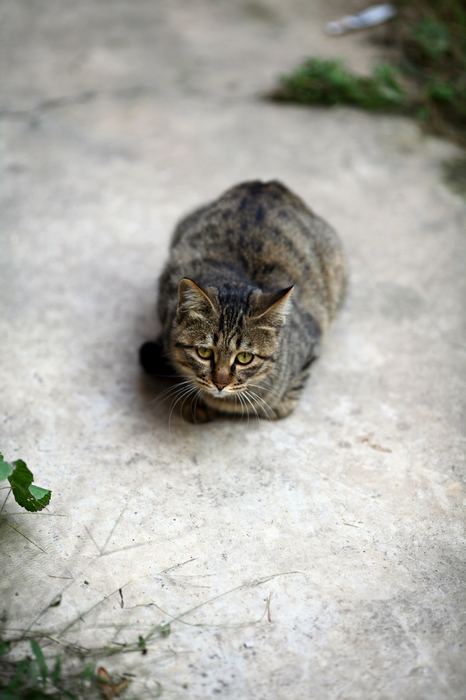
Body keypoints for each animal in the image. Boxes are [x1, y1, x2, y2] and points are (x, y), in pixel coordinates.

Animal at [140, 180, 348, 422]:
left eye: (245, 357)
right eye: (204, 352)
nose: (220, 383)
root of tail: (265, 185)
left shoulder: (311, 345)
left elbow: (291, 392)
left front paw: (280, 403)